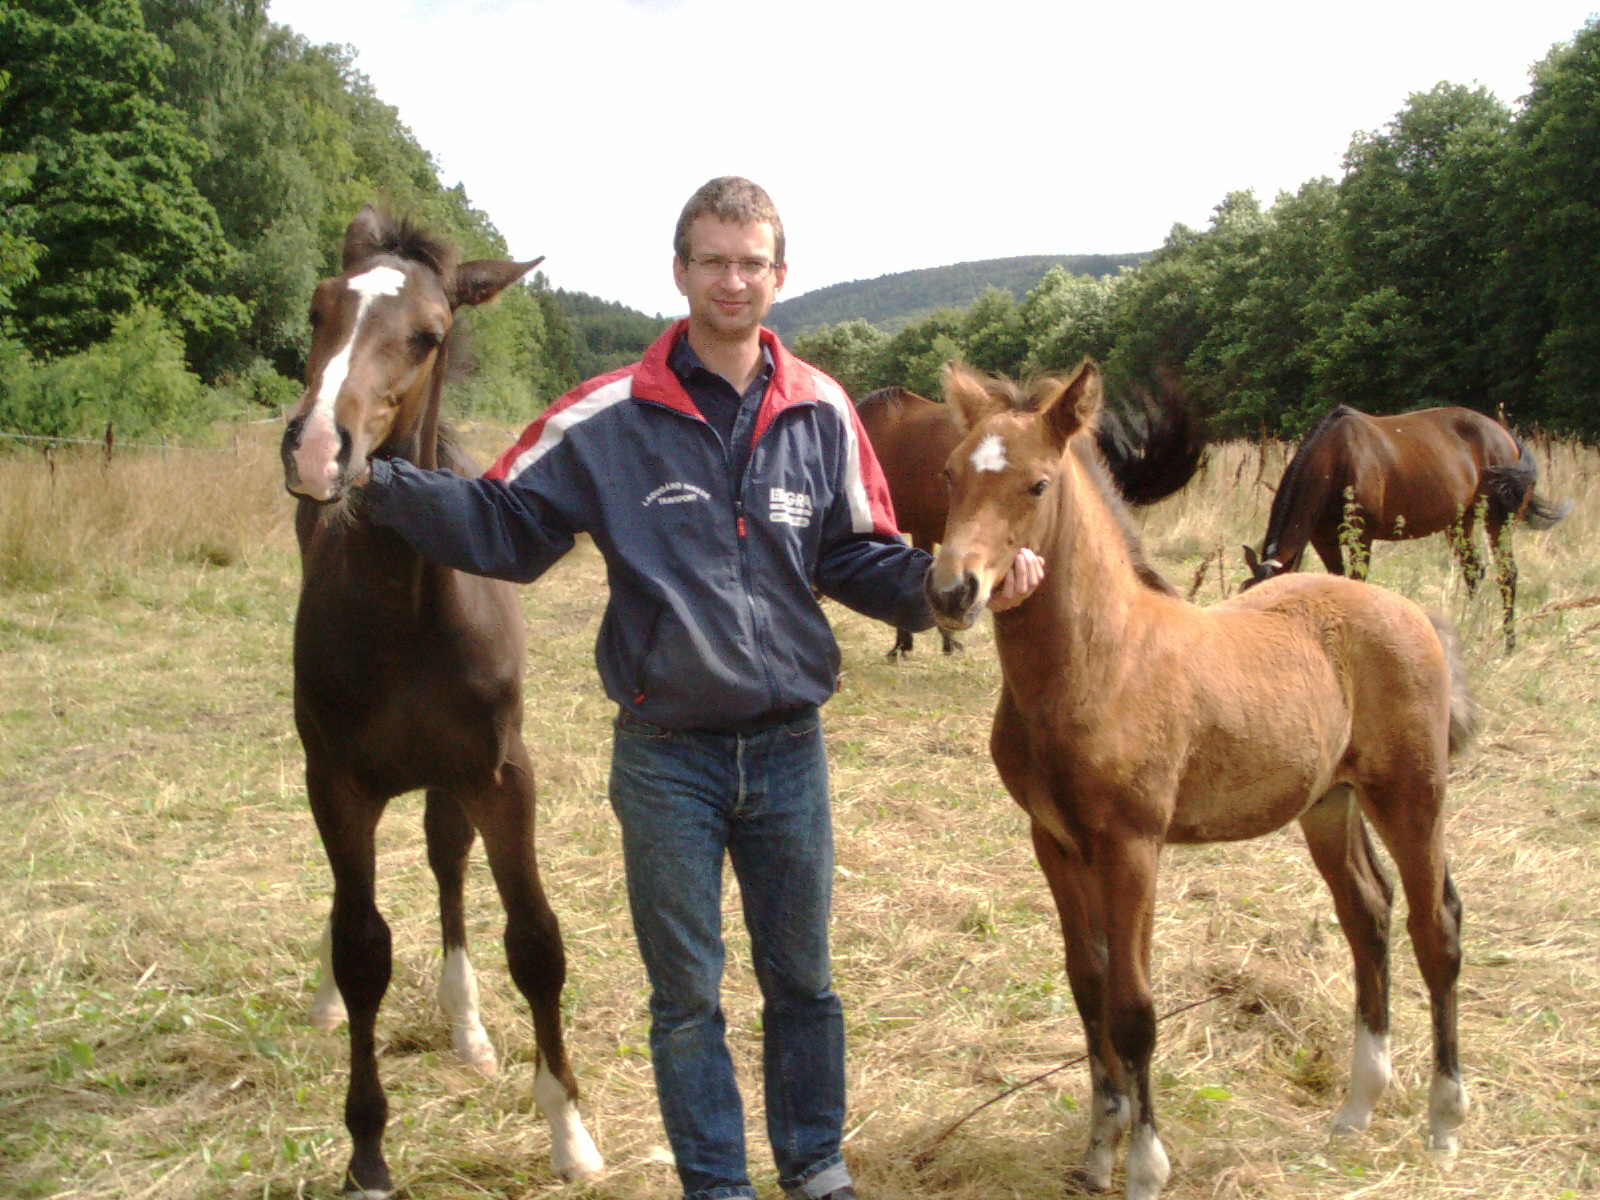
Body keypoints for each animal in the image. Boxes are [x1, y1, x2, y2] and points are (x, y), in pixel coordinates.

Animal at [280, 206, 603, 1198]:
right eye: (318, 308)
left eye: (427, 334)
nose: (318, 448)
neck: (407, 604)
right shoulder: (336, 780)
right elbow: (362, 947)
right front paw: (368, 1155)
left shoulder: (501, 773)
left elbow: (536, 941)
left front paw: (569, 1134)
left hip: (449, 777)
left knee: (447, 861)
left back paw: (468, 1029)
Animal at [924, 360, 1474, 1200]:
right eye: (952, 473)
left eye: (1038, 485)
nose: (952, 591)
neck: (1101, 660)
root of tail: (1413, 614)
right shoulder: (1054, 842)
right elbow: (1087, 986)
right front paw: (1098, 1147)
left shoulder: (1132, 845)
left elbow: (1133, 1007)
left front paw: (1145, 1164)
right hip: (1329, 802)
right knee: (1368, 913)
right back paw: (1355, 1109)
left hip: (1411, 794)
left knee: (1434, 925)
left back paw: (1444, 1124)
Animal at [1242, 404, 1571, 651]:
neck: (1337, 458)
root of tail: (1506, 436)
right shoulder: (1324, 540)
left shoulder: (1361, 537)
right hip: (1459, 521)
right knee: (1474, 571)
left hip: (1496, 516)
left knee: (1507, 574)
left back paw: (1508, 643)